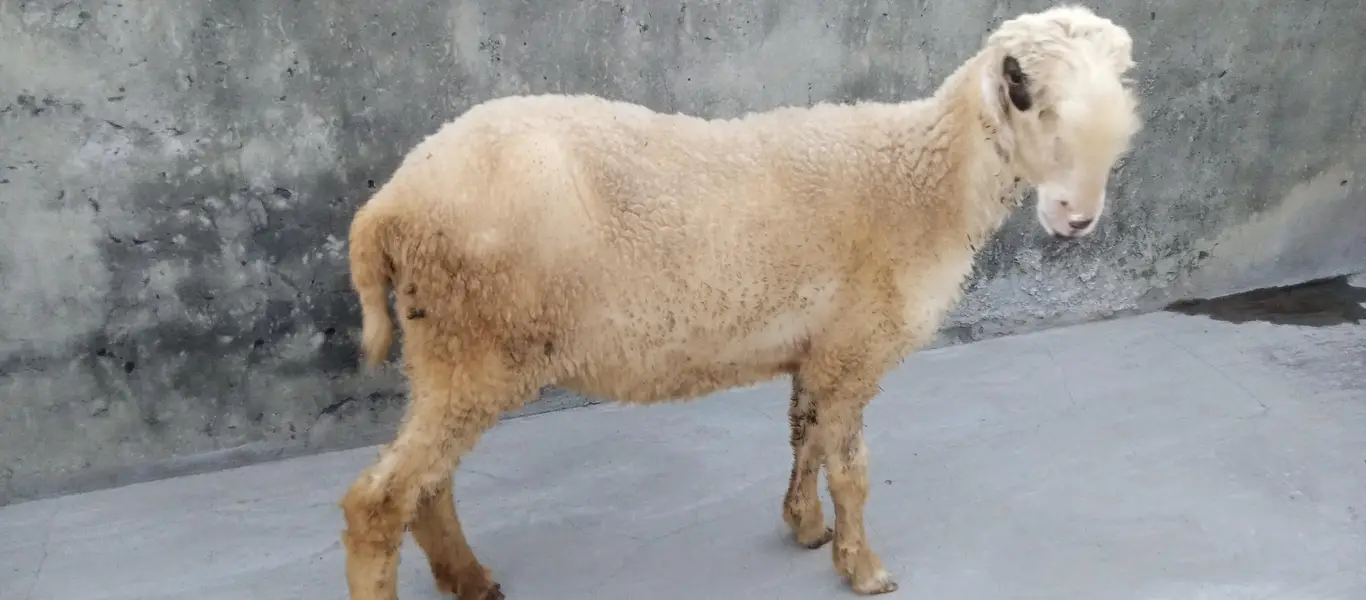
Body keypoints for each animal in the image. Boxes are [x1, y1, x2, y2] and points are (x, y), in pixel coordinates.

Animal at [337, 5, 1142, 599]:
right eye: (1027, 96)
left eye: (1120, 114)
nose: (1077, 218)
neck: (928, 181)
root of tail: (386, 207)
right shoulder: (856, 346)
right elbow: (852, 469)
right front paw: (865, 569)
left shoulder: (820, 347)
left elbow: (805, 441)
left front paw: (807, 529)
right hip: (473, 341)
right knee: (379, 502)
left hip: (447, 345)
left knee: (428, 487)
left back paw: (470, 581)